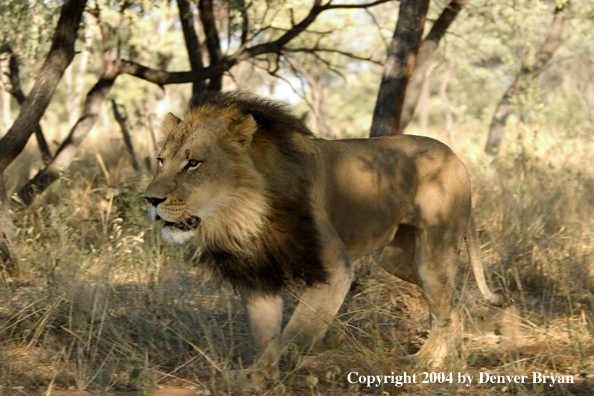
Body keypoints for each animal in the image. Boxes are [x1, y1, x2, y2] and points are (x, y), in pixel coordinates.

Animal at [143, 91, 500, 382]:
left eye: (193, 163)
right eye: (160, 160)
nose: (149, 199)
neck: (243, 214)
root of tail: (456, 156)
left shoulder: (336, 269)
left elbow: (295, 333)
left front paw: (312, 351)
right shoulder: (258, 275)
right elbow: (266, 334)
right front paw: (257, 376)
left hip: (433, 254)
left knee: (445, 307)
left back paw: (425, 361)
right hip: (395, 258)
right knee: (447, 308)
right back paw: (439, 356)